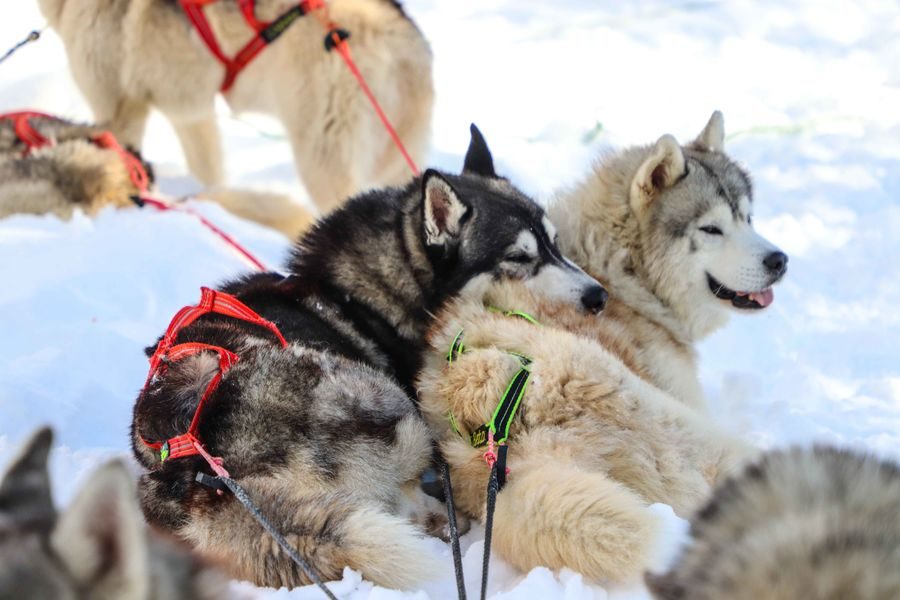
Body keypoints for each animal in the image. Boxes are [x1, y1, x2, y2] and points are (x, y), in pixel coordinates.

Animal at [128, 126, 604, 592]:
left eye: (555, 243)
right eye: (519, 258)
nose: (598, 296)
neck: (357, 294)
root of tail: (202, 476)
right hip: (396, 411)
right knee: (415, 506)